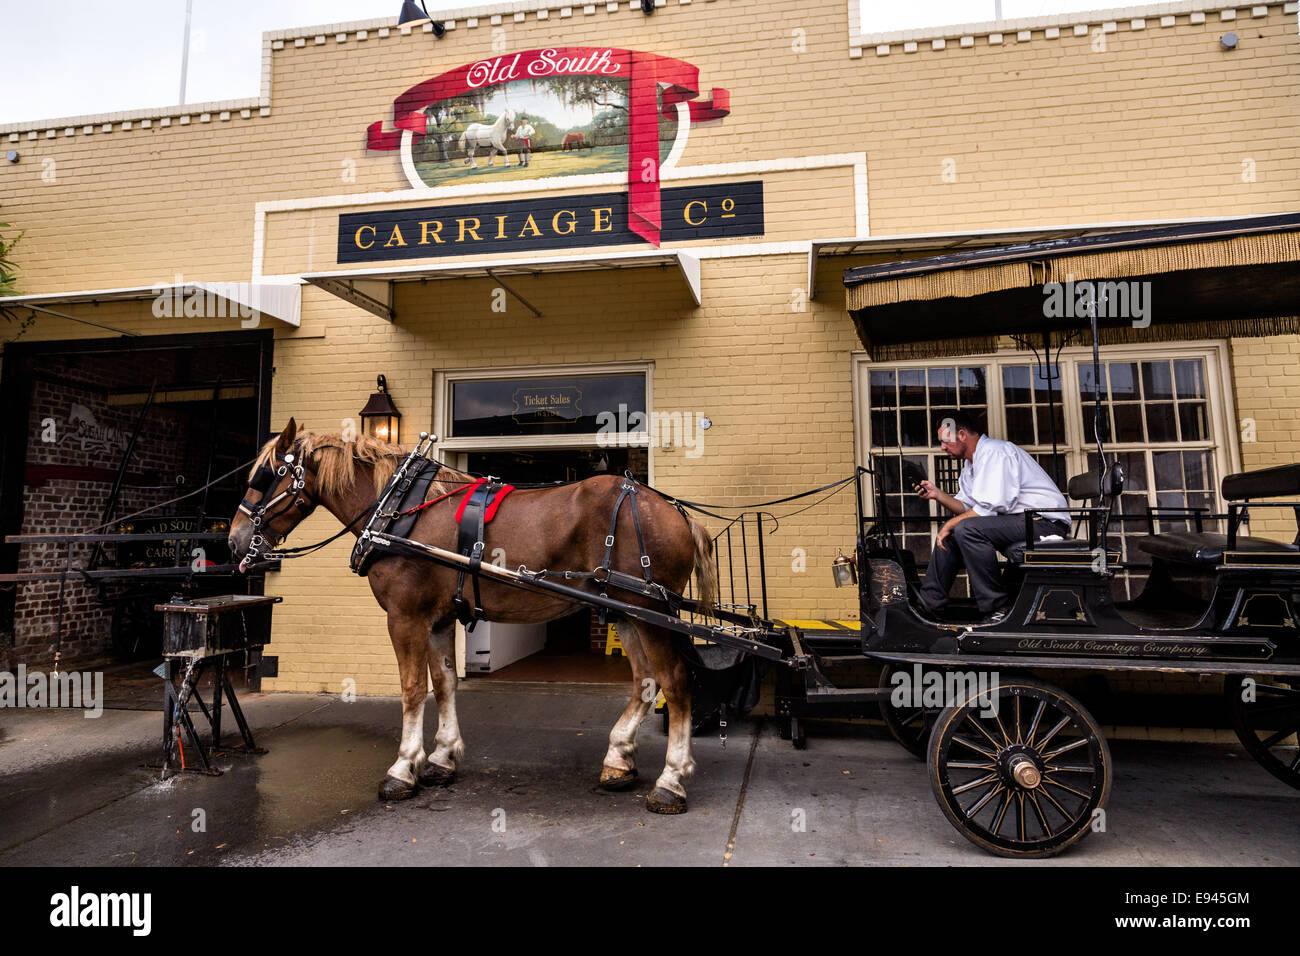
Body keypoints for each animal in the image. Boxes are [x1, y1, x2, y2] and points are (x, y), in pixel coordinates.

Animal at [228, 418, 717, 816]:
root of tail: (674, 511)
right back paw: (618, 759)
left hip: (649, 613)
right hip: (626, 613)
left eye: (267, 476)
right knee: (645, 681)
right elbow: (445, 683)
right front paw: (442, 757)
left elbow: (412, 689)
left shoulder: (405, 617)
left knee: (675, 681)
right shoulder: (439, 619)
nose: (232, 540)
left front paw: (402, 768)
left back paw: (671, 780)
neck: (397, 508)